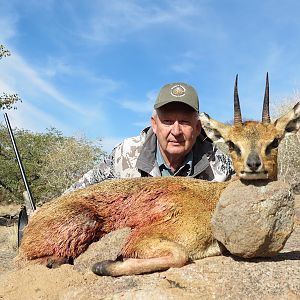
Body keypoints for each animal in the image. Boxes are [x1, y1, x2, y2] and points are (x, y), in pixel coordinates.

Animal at [18, 75, 300, 276]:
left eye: (274, 141)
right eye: (232, 144)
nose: (253, 165)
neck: (214, 206)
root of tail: (34, 220)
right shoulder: (146, 236)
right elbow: (179, 256)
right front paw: (104, 264)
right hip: (81, 221)